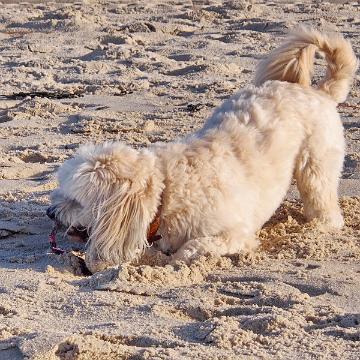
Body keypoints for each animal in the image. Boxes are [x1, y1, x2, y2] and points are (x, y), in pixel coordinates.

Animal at [47, 28, 358, 272]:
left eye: (76, 200)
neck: (166, 190)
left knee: (324, 204)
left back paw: (320, 226)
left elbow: (193, 247)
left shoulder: (235, 233)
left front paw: (173, 262)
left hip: (316, 167)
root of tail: (318, 91)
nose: (50, 212)